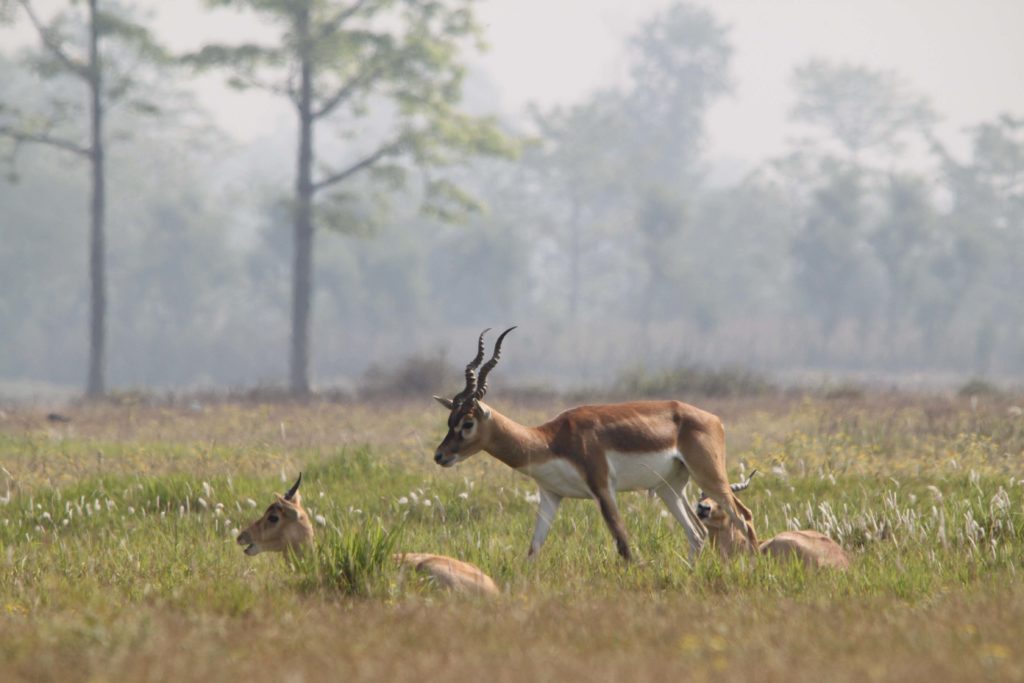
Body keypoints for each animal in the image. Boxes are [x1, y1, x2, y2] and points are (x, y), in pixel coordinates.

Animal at [428, 329, 757, 561]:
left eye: (467, 423)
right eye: (449, 420)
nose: (440, 455)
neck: (551, 440)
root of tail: (714, 419)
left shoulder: (602, 488)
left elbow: (624, 544)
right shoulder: (551, 495)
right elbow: (534, 547)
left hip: (709, 476)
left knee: (744, 517)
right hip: (671, 487)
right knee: (697, 533)